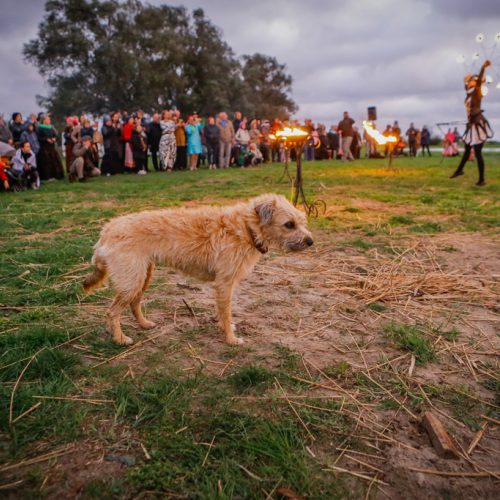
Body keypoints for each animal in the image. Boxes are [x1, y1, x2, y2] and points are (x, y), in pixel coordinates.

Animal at [84, 193, 314, 346]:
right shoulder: (224, 283)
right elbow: (226, 312)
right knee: (112, 312)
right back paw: (120, 339)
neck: (246, 228)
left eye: (302, 222)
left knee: (134, 304)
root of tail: (107, 230)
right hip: (131, 280)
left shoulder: (224, 285)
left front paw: (225, 329)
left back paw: (144, 324)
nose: (310, 241)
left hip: (142, 276)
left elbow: (222, 312)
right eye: (289, 224)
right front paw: (231, 339)